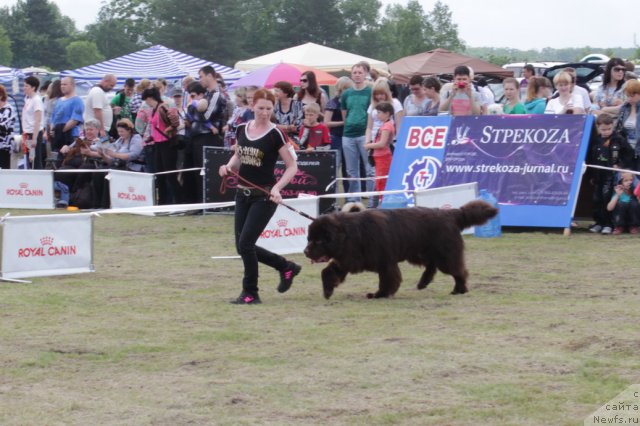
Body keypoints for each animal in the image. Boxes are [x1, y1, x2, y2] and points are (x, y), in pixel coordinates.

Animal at [302, 202, 498, 300]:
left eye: (318, 240)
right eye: (309, 239)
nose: (305, 252)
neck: (349, 235)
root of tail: (450, 213)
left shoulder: (385, 263)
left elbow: (387, 280)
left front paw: (379, 295)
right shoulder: (347, 259)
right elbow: (327, 271)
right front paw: (328, 291)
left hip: (444, 254)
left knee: (458, 271)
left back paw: (459, 289)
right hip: (419, 252)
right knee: (432, 265)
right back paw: (423, 283)